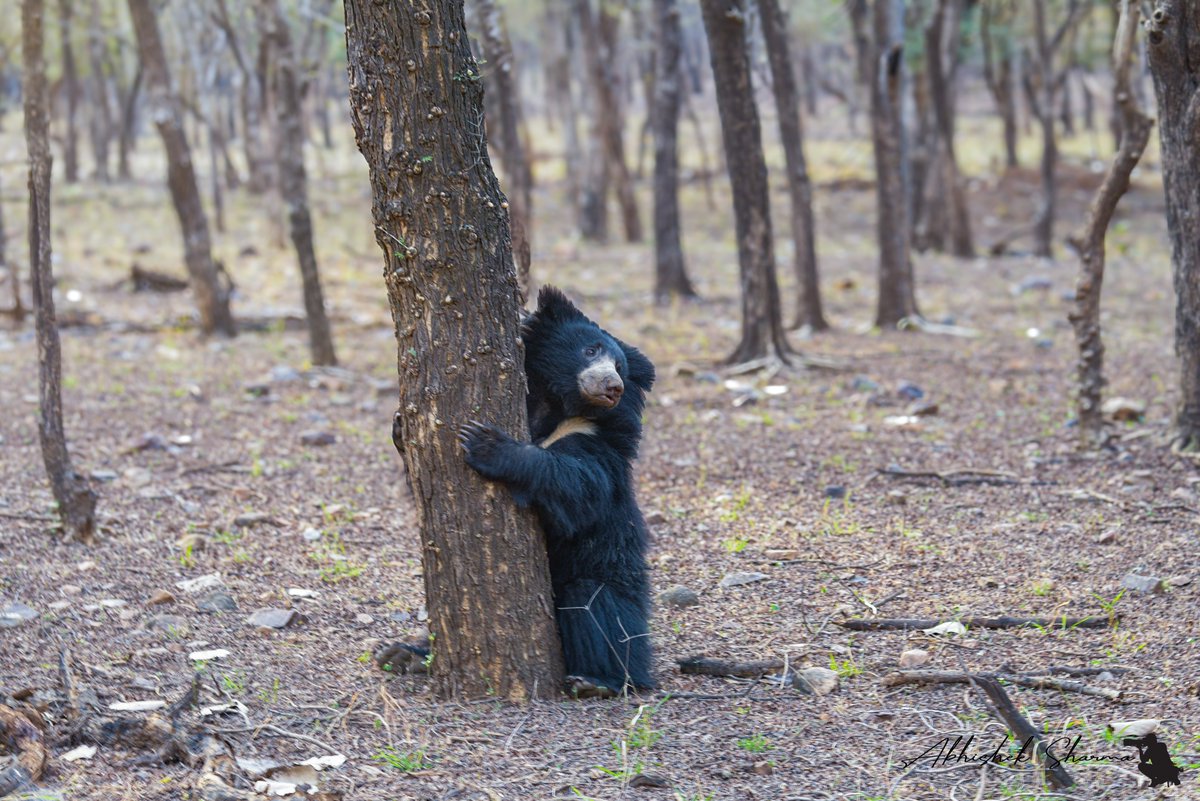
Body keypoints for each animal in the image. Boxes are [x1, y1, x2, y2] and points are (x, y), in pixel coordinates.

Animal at [375, 286, 657, 697]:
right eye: (590, 350)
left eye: (620, 368)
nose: (612, 388)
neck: (556, 405)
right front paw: (399, 425)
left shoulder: (598, 443)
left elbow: (578, 487)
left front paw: (486, 443)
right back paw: (404, 654)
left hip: (607, 571)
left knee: (598, 611)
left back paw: (597, 680)